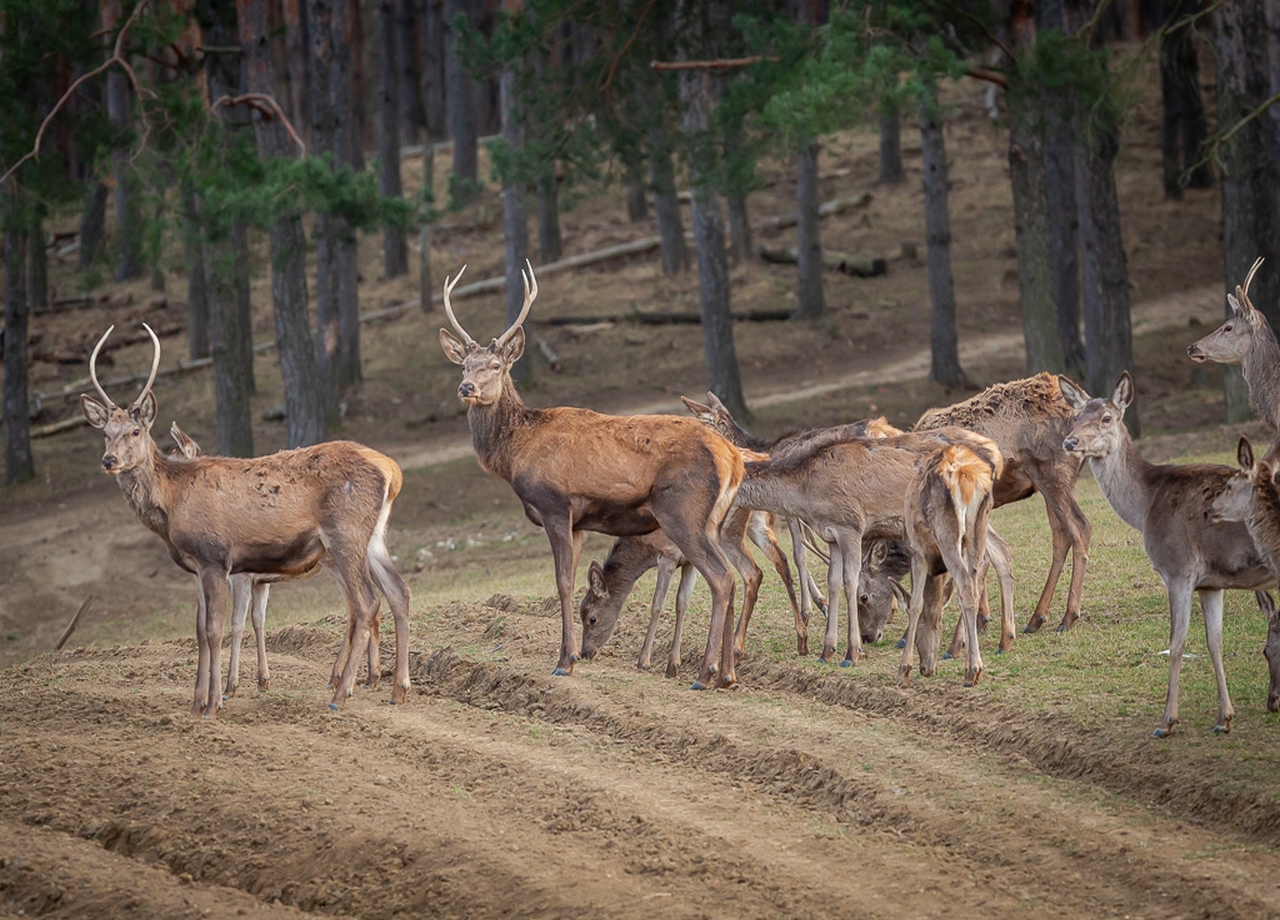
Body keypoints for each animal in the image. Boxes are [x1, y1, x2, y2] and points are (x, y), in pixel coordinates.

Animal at [81, 327, 409, 716]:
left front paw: (214, 702)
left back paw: (340, 693)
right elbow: (198, 631)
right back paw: (398, 689)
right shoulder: (196, 568)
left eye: (135, 431)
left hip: (345, 534)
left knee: (366, 602)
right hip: (373, 536)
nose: (108, 460)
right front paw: (196, 702)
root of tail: (393, 470)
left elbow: (216, 630)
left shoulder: (216, 558)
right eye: (105, 432)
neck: (172, 504)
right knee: (398, 591)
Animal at [440, 262, 747, 685]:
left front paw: (563, 662)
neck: (516, 454)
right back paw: (728, 674)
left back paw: (705, 673)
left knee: (722, 577)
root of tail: (732, 457)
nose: (466, 387)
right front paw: (570, 655)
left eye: (496, 366)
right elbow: (569, 582)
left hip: (683, 511)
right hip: (713, 520)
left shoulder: (554, 505)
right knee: (731, 576)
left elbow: (563, 582)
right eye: (463, 365)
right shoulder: (578, 521)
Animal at [916, 373, 1085, 634]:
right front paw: (982, 617)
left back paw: (1068, 616)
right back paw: (1037, 617)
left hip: (1053, 476)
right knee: (1061, 535)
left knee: (1080, 528)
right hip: (1050, 485)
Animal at [1054, 371, 1274, 737]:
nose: (1070, 442)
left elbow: (1177, 643)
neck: (1146, 507)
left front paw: (1166, 721)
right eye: (1075, 416)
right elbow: (1214, 642)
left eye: (1107, 418)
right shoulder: (1211, 583)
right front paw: (1224, 718)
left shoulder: (1178, 569)